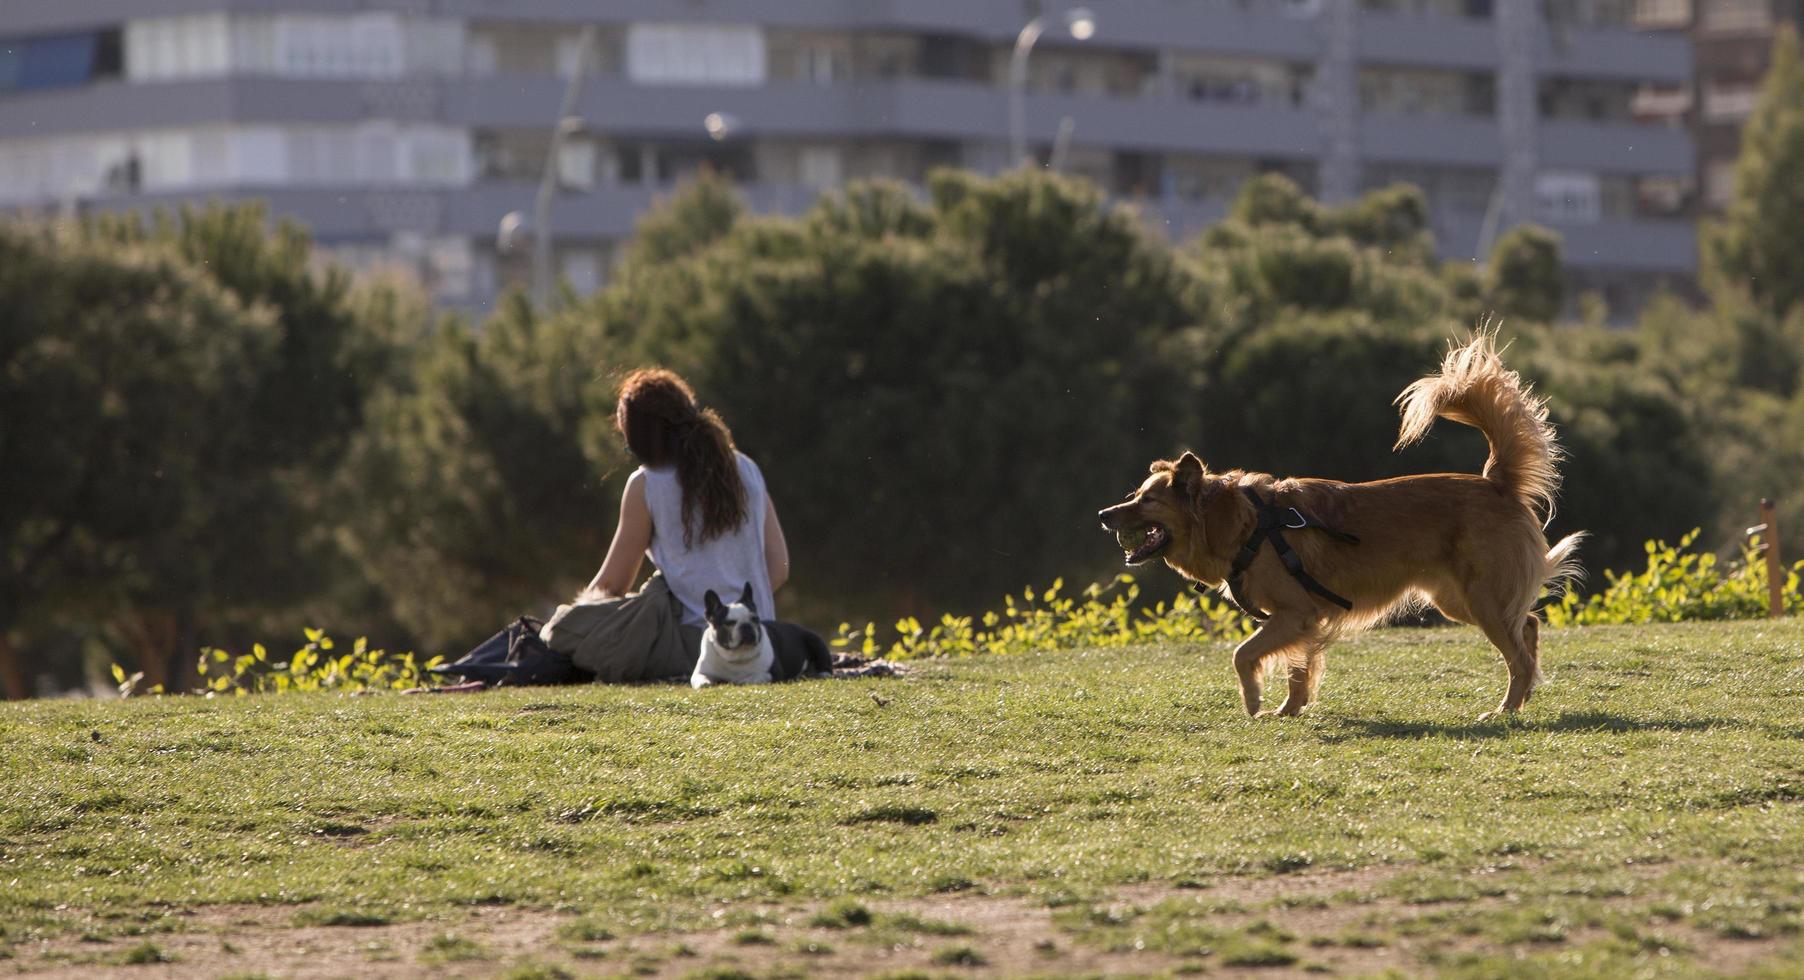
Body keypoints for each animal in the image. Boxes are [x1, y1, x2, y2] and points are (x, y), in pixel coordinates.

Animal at [1096, 332, 1580, 721]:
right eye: (1135, 495)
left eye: (1147, 500)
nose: (1103, 515)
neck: (1248, 524)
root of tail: (1496, 483)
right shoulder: (1301, 620)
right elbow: (1297, 669)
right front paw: (1288, 710)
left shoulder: (1294, 612)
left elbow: (1242, 654)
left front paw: (1254, 701)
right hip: (1458, 599)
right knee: (1529, 625)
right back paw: (1523, 696)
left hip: (1481, 598)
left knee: (1519, 653)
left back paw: (1506, 709)